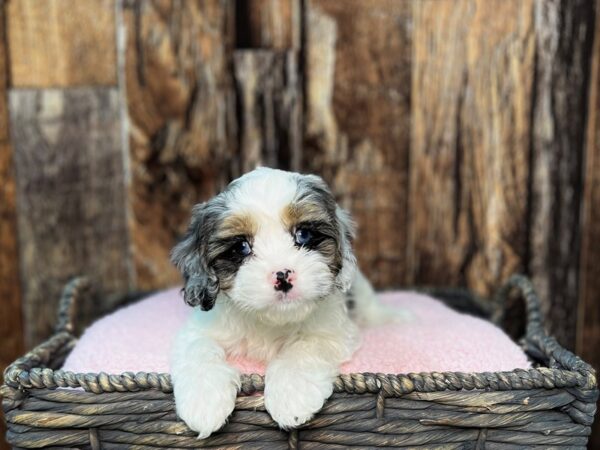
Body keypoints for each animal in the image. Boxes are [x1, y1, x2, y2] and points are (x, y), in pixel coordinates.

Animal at [169, 167, 396, 438]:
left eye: (304, 235)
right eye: (241, 247)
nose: (283, 276)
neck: (271, 321)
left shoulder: (332, 331)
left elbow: (304, 348)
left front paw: (292, 397)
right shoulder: (199, 330)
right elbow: (198, 350)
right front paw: (204, 403)